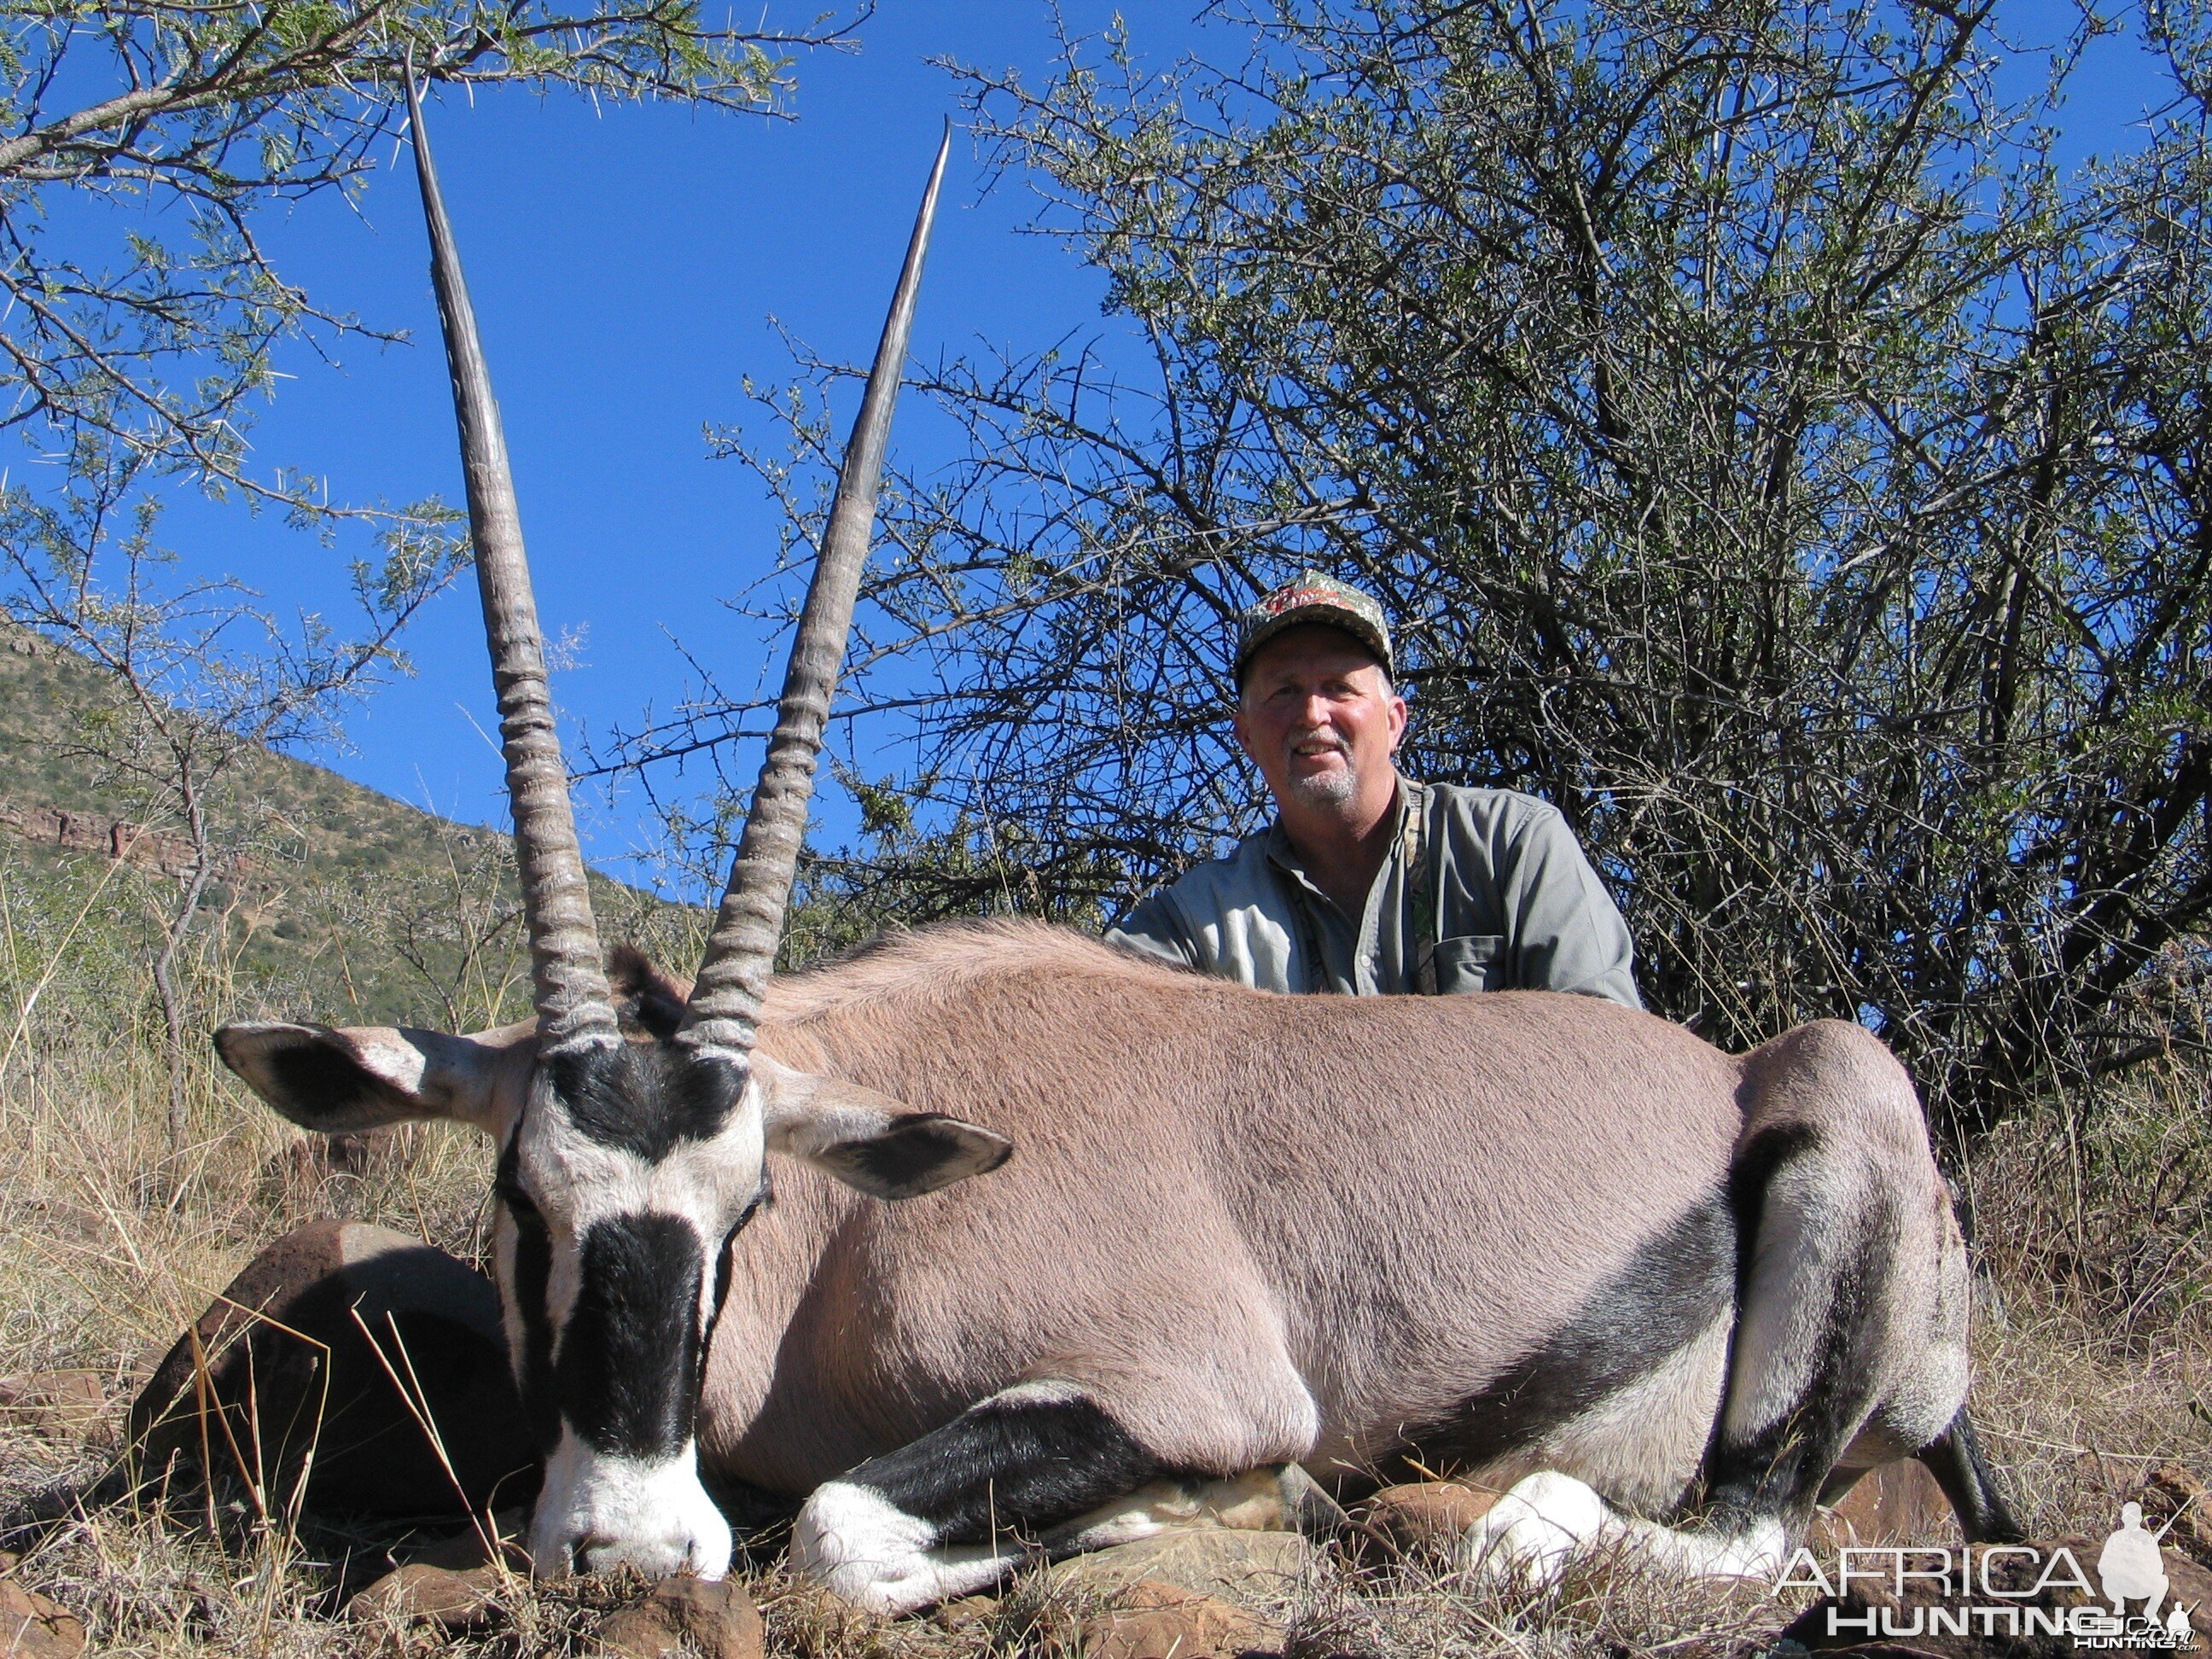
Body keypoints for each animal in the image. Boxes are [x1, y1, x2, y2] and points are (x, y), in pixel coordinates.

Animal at [207, 84, 2026, 1619]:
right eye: (521, 1195)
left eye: (747, 1204)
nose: (633, 1547)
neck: (855, 1238)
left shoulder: (1191, 1379)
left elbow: (843, 1524)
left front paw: (1227, 1508)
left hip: (1828, 1153)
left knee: (1732, 1528)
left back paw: (1510, 1515)